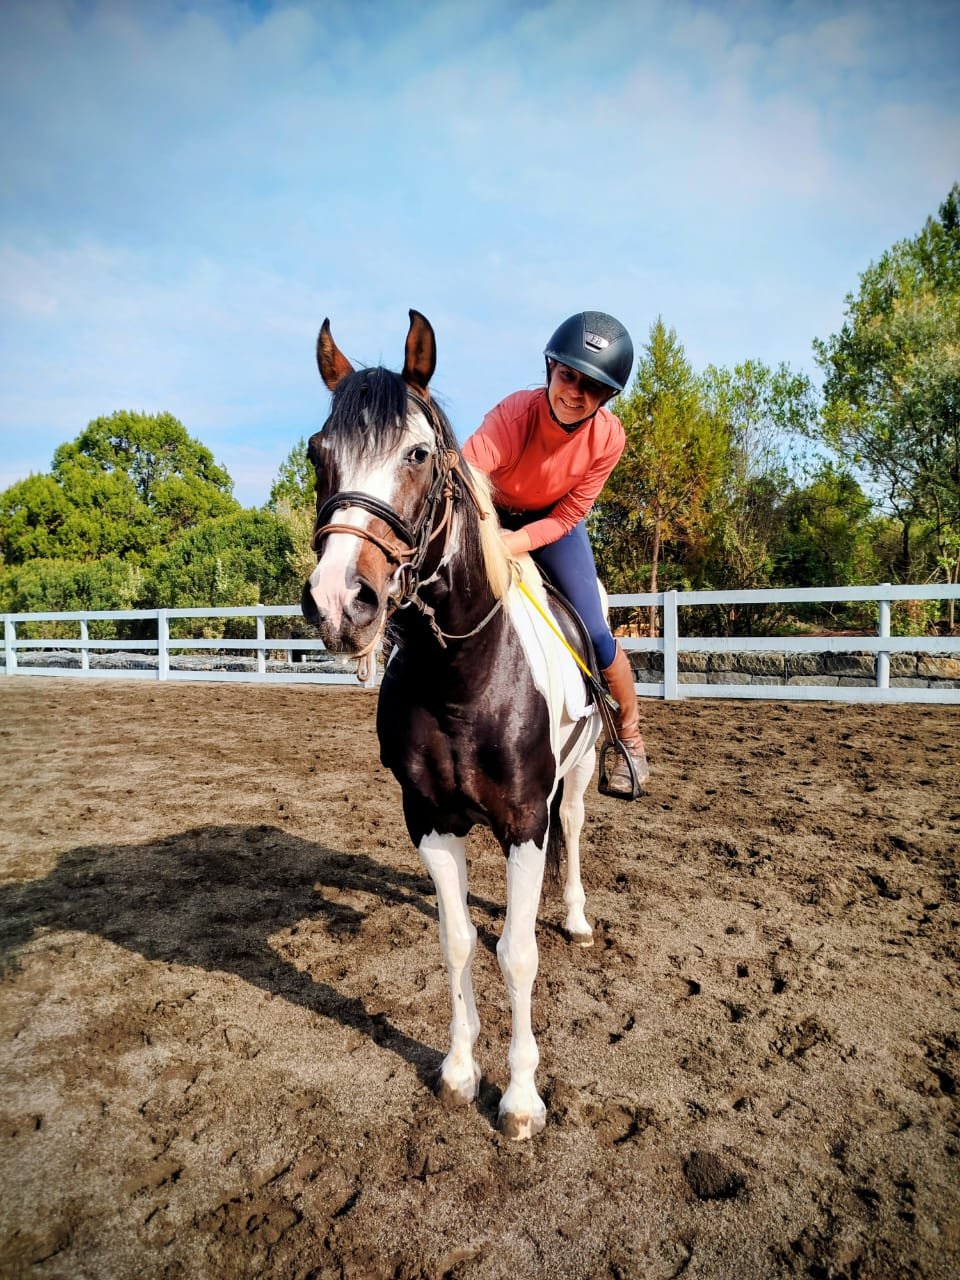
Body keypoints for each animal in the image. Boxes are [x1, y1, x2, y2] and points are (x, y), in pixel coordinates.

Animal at [301, 310, 603, 1140]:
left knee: (574, 830)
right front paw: (462, 1070)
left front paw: (522, 1099)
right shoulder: (430, 820)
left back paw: (576, 916)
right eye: (318, 455)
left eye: (417, 452)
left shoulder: (525, 821)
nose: (339, 602)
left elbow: (518, 954)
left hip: (580, 774)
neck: (464, 682)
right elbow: (460, 940)